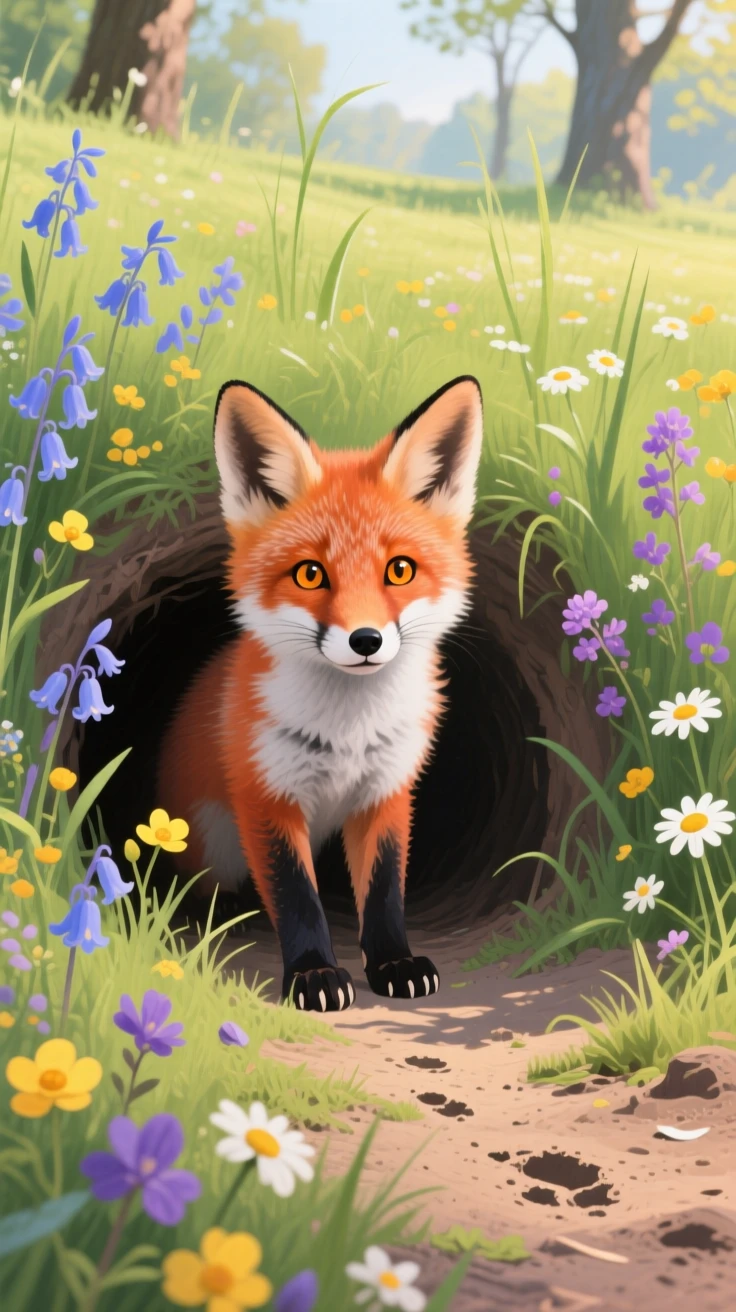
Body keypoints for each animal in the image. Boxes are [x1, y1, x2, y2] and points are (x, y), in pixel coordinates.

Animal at [156, 374, 484, 1012]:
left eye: (400, 570)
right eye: (311, 574)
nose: (366, 640)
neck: (349, 731)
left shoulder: (387, 792)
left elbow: (383, 893)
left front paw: (394, 963)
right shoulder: (267, 795)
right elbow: (296, 898)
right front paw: (313, 975)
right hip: (210, 838)